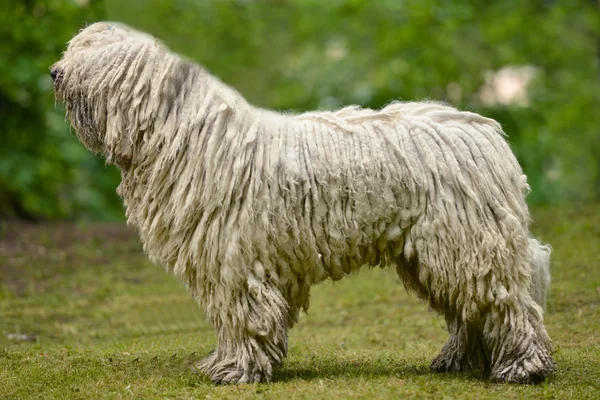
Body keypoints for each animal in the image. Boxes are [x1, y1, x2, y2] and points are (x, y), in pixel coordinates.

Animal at [51, 21, 552, 384]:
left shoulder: (236, 259)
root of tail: (485, 132)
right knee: (471, 309)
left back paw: (522, 367)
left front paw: (235, 369)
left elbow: (242, 316)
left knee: (509, 305)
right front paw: (237, 363)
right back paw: (461, 359)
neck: (189, 135)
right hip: (435, 252)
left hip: (465, 242)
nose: (54, 72)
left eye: (90, 54)